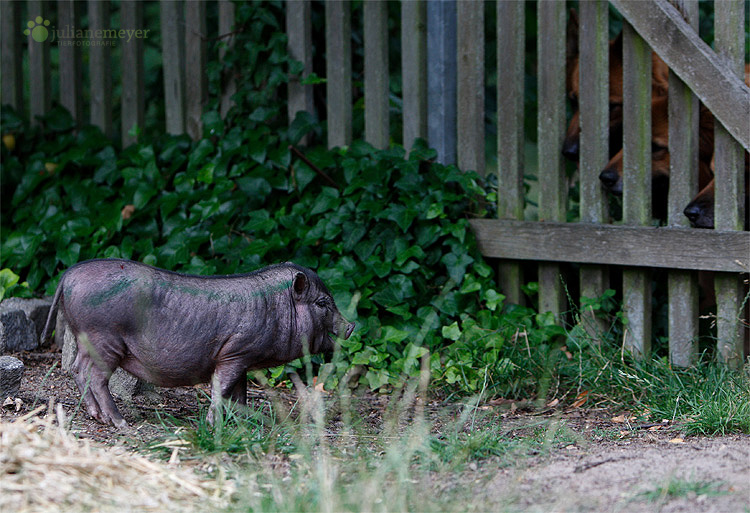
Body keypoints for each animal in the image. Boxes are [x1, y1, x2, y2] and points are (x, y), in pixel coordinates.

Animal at [40, 256, 356, 428]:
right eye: (322, 302)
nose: (352, 325)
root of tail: (68, 275)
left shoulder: (241, 359)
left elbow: (239, 393)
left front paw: (242, 422)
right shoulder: (235, 353)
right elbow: (220, 388)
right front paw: (214, 424)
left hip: (85, 338)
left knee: (77, 369)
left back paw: (97, 417)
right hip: (104, 339)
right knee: (96, 378)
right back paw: (119, 422)